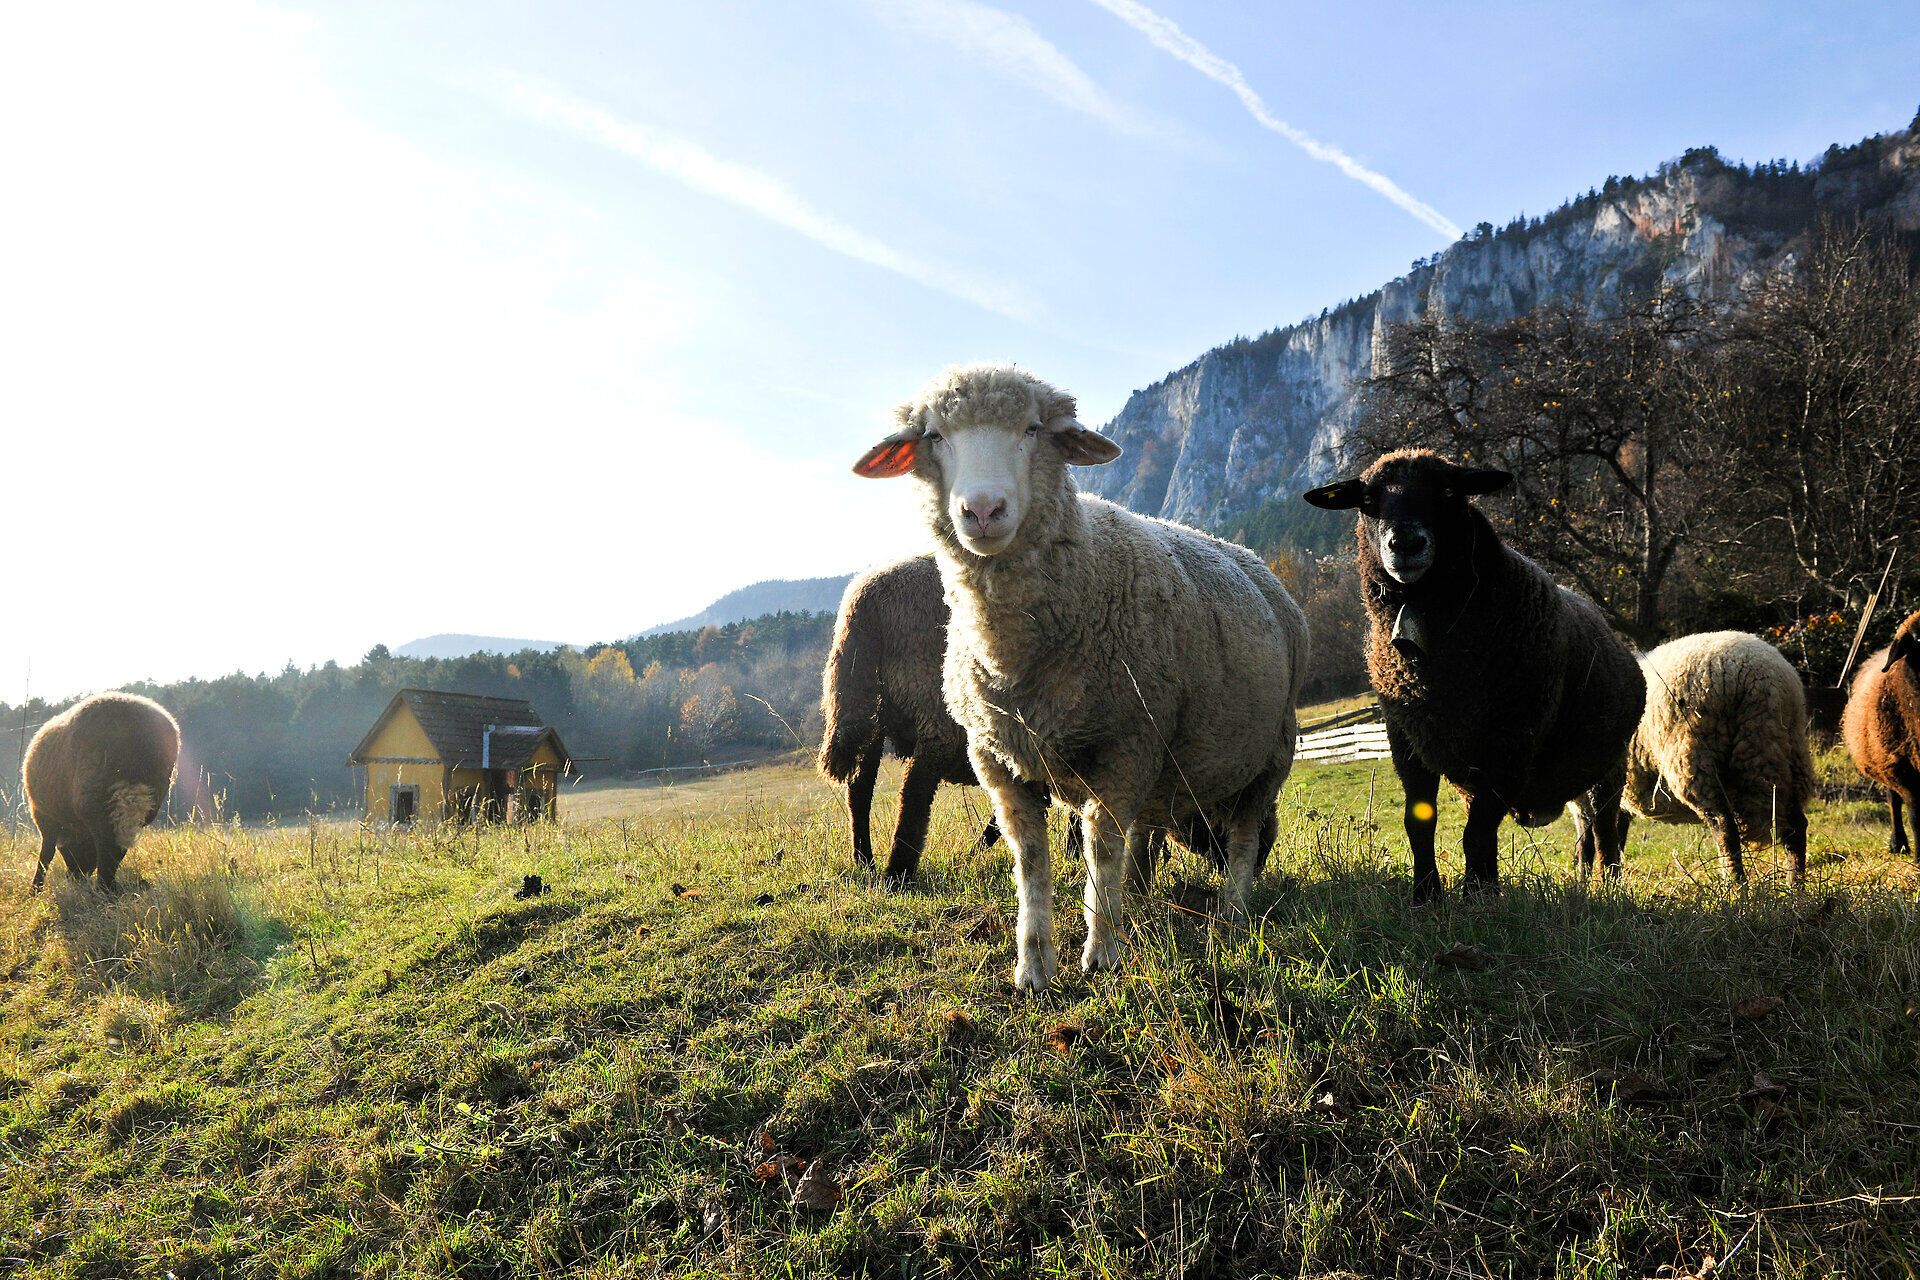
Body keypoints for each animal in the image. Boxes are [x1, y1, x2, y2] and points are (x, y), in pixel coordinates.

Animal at [853, 363, 1308, 990]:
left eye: (1032, 429)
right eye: (934, 436)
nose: (983, 510)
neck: (1014, 658)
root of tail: (1255, 561)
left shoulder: (1123, 748)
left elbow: (1101, 849)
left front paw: (1101, 953)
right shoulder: (997, 760)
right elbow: (1030, 860)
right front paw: (1033, 966)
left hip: (1269, 754)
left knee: (1241, 834)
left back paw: (1232, 912)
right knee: (1157, 829)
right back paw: (1141, 897)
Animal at [1303, 449, 1645, 900]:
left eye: (1449, 491)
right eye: (1368, 501)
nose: (1406, 543)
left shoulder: (1511, 741)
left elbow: (1476, 833)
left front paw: (1475, 899)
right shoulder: (1406, 740)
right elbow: (1421, 823)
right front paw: (1427, 896)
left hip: (1609, 761)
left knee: (1606, 827)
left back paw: (1607, 885)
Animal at [1570, 631, 1813, 886]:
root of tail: (1763, 677)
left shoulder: (1597, 790)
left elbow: (1596, 840)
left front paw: (1597, 883)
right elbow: (1610, 839)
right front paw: (1604, 882)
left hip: (1695, 757)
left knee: (1724, 826)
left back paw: (1735, 885)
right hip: (1784, 753)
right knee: (1795, 826)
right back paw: (1795, 885)